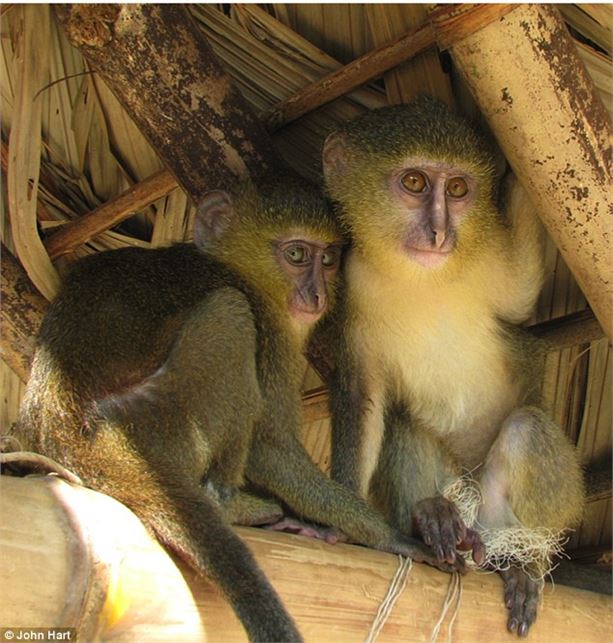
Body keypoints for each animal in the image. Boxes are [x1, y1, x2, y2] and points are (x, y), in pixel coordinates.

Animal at [13, 174, 458, 642]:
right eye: (296, 255)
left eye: (329, 259)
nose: (316, 294)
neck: (239, 268)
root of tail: (72, 431)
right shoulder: (270, 329)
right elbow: (269, 448)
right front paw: (386, 536)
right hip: (163, 421)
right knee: (229, 313)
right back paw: (231, 505)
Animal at [320, 96, 585, 638]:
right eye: (415, 182)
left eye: (458, 189)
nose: (440, 232)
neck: (423, 277)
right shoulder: (350, 289)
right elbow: (363, 397)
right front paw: (349, 525)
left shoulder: (493, 259)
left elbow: (523, 297)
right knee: (406, 423)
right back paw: (433, 519)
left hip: (512, 510)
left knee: (527, 428)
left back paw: (523, 564)